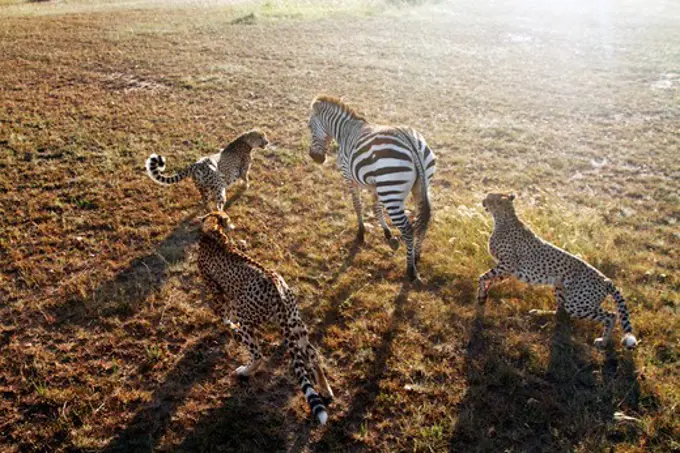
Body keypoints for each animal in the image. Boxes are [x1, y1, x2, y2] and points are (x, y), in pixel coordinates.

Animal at [197, 211, 334, 424]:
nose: (233, 226)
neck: (213, 231)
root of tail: (276, 286)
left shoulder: (217, 290)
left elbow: (224, 313)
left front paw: (229, 325)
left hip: (247, 318)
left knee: (258, 355)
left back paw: (244, 371)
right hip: (295, 324)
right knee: (312, 353)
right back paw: (325, 389)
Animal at [306, 94, 436, 282]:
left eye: (309, 126)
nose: (314, 157)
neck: (344, 131)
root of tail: (410, 142)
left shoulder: (350, 178)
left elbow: (357, 205)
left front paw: (361, 233)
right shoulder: (376, 185)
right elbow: (376, 208)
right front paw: (388, 234)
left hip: (391, 193)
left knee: (408, 229)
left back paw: (410, 270)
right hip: (418, 187)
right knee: (422, 222)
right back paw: (416, 257)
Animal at [478, 192, 636, 350]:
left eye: (489, 198)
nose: (483, 201)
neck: (504, 217)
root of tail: (606, 279)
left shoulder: (508, 265)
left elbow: (482, 277)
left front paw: (481, 296)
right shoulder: (506, 268)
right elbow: (489, 279)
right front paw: (483, 295)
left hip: (576, 303)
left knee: (611, 315)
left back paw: (603, 341)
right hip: (560, 287)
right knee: (560, 312)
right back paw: (538, 313)